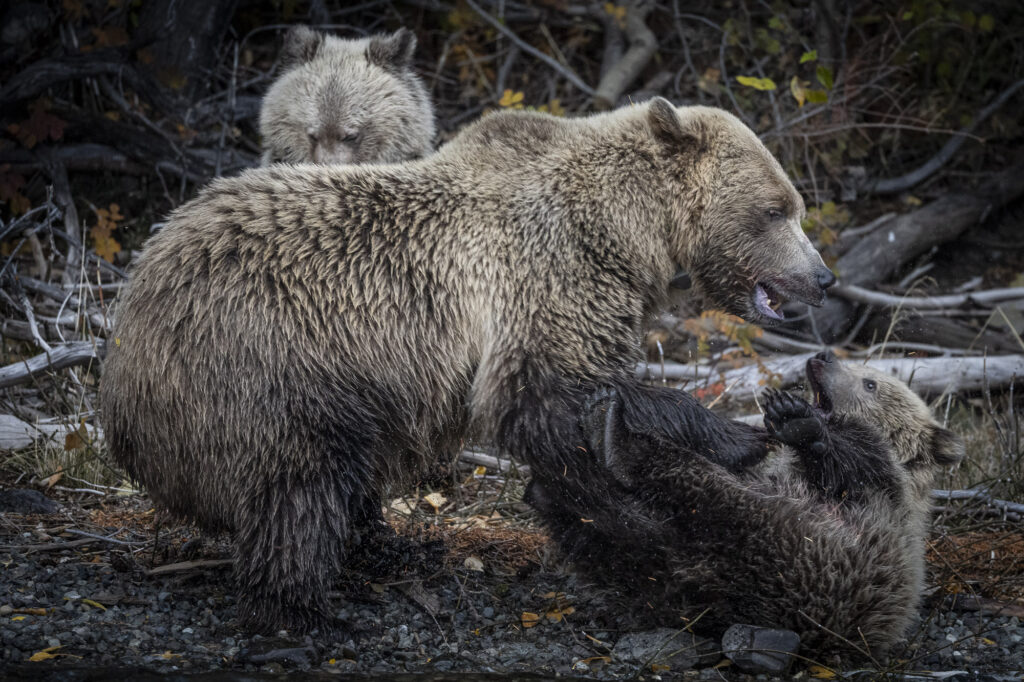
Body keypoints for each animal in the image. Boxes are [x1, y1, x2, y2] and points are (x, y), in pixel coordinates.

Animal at [99, 98, 836, 633]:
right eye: (777, 208)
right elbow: (544, 392)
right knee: (300, 481)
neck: (630, 231)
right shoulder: (548, 272)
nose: (823, 277)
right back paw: (301, 611)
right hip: (271, 365)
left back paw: (389, 545)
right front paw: (738, 436)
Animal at [525, 350, 964, 658]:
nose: (823, 356)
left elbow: (849, 457)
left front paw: (796, 420)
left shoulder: (876, 499)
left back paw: (613, 436)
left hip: (798, 553)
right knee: (618, 540)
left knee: (697, 493)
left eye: (870, 383)